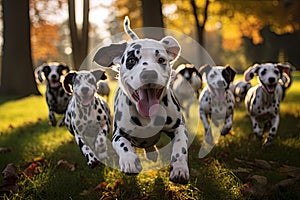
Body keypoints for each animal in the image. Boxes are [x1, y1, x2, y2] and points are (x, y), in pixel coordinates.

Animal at [93, 16, 190, 184]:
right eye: (131, 61)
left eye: (161, 60)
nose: (149, 74)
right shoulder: (118, 133)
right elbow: (123, 144)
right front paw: (129, 160)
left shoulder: (179, 127)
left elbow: (180, 146)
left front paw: (179, 168)